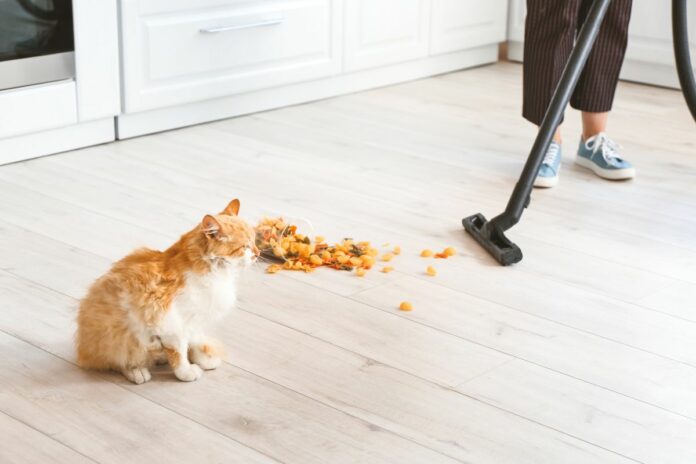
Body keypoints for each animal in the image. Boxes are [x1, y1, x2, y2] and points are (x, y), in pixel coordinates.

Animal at [76, 199, 260, 384]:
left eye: (254, 242)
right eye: (245, 247)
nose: (258, 253)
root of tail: (82, 348)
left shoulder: (195, 319)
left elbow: (194, 339)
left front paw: (202, 357)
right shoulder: (170, 322)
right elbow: (179, 352)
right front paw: (186, 371)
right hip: (121, 333)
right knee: (119, 359)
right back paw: (138, 371)